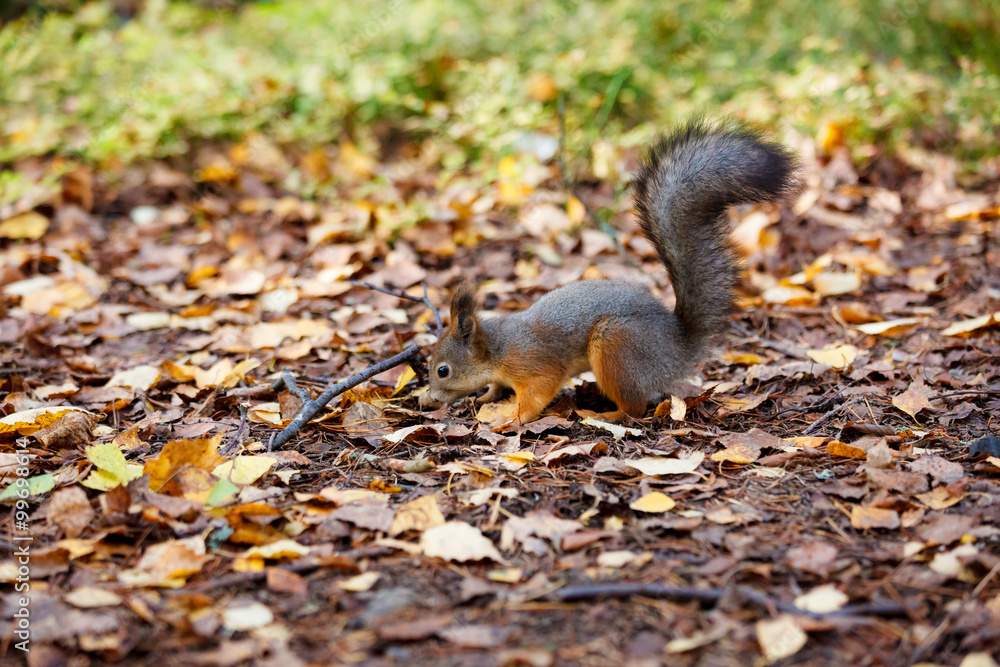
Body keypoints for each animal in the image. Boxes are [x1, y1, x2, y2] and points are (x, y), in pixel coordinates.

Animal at [419, 120, 799, 424]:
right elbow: (496, 386)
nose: (430, 399)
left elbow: (539, 392)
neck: (496, 347)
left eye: (443, 370)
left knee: (636, 408)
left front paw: (511, 417)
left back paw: (605, 414)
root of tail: (678, 347)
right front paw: (487, 397)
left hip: (617, 346)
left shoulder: (531, 362)